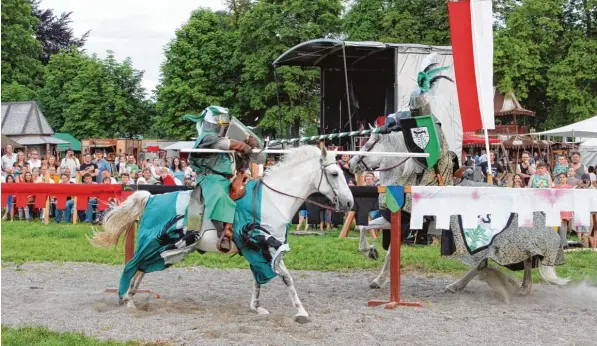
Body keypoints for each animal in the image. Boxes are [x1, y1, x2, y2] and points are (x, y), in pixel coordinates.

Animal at [88, 145, 354, 320]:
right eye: (334, 174)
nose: (350, 203)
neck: (271, 200)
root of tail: (151, 198)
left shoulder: (258, 249)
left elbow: (259, 278)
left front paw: (256, 307)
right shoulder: (266, 247)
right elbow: (287, 278)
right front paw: (301, 311)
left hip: (164, 247)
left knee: (142, 268)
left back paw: (130, 296)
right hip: (155, 242)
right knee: (133, 265)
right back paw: (126, 296)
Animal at [350, 131, 568, 302]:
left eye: (369, 144)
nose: (351, 163)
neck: (406, 180)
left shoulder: (403, 223)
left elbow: (384, 248)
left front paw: (376, 271)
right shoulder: (395, 220)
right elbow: (363, 228)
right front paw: (371, 253)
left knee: (509, 261)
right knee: (501, 262)